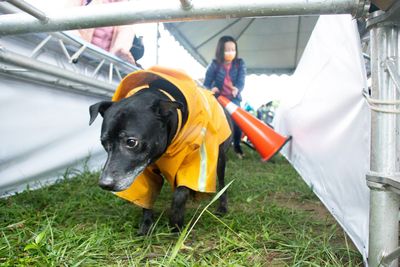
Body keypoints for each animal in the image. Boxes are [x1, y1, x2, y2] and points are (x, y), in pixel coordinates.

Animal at [87, 68, 231, 234]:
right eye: (104, 143)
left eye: (131, 142)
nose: (104, 184)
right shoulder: (143, 171)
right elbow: (147, 198)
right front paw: (146, 227)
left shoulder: (196, 162)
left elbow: (180, 194)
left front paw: (176, 224)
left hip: (220, 160)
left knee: (222, 184)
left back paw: (222, 207)